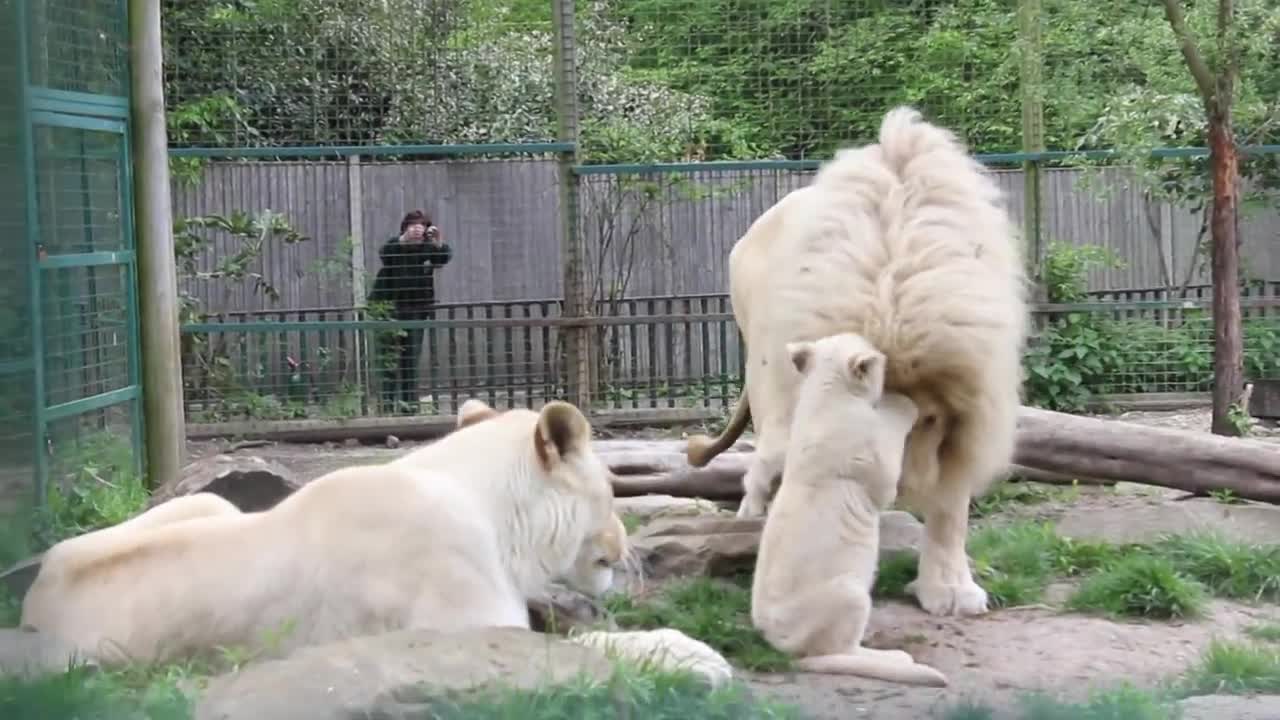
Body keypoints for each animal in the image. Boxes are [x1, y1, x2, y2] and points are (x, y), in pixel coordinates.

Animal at [680, 103, 1029, 614]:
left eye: (924, 419)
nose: (898, 484)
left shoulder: (970, 411)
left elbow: (949, 508)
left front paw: (949, 592)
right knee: (763, 461)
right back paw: (751, 518)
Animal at [747, 333, 947, 686]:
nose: (886, 359)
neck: (826, 393)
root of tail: (779, 647)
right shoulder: (877, 467)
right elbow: (891, 429)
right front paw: (903, 402)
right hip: (850, 595)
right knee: (842, 650)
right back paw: (895, 657)